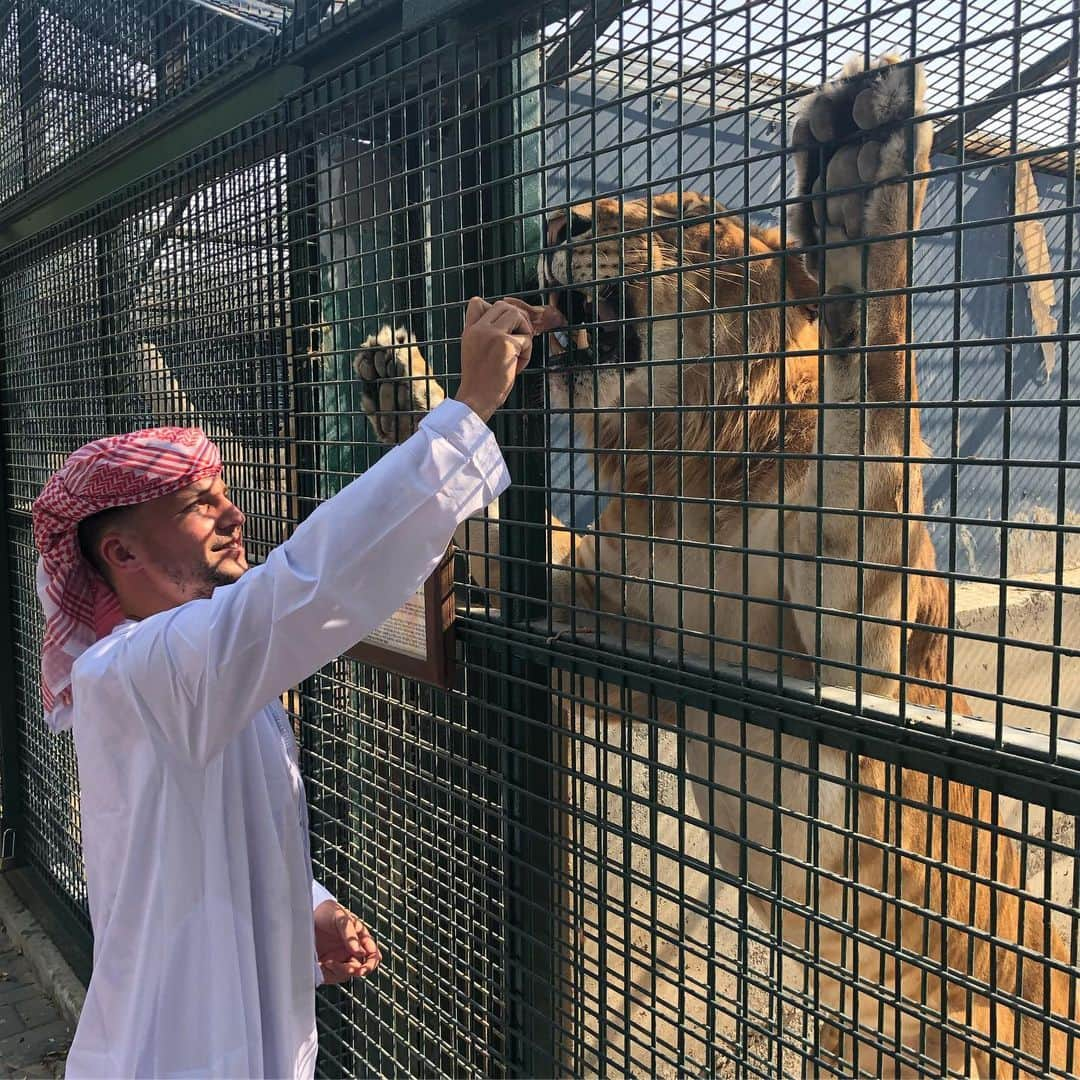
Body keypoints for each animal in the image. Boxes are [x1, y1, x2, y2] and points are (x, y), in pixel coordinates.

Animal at [352, 56, 1071, 1071]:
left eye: (690, 223)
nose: (561, 224)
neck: (683, 476)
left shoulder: (857, 665)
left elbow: (873, 408)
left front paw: (862, 191)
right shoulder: (620, 641)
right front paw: (402, 384)